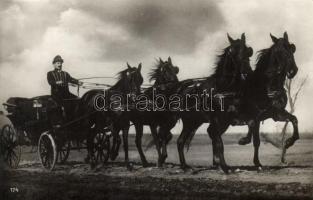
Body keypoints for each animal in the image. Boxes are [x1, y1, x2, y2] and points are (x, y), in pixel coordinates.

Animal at [174, 32, 252, 172]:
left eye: (248, 51)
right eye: (232, 52)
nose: (246, 72)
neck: (223, 88)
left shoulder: (233, 117)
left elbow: (251, 123)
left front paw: (244, 140)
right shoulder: (216, 119)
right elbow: (219, 143)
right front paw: (225, 167)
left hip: (195, 122)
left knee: (187, 139)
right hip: (189, 122)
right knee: (181, 141)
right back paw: (184, 166)